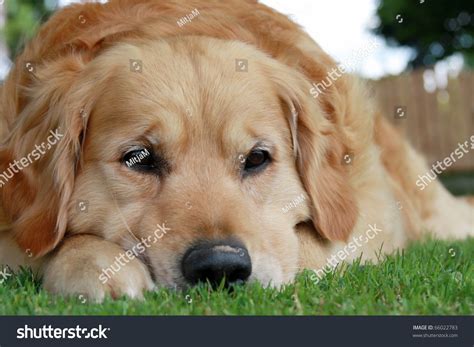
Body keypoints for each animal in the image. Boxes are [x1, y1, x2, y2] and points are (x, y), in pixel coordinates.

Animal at [0, 0, 472, 302]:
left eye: (257, 159)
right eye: (139, 159)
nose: (219, 268)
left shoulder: (367, 213)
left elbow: (305, 247)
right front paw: (92, 262)